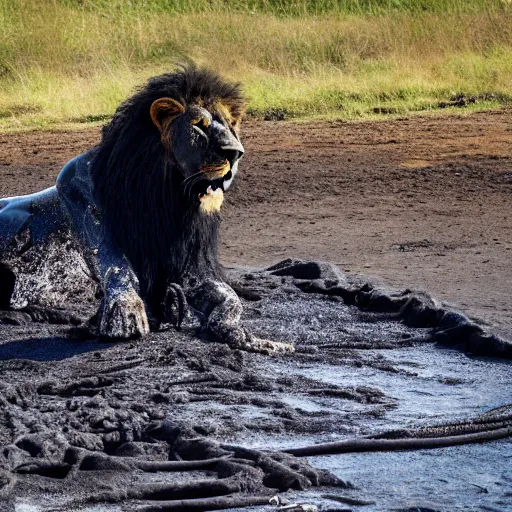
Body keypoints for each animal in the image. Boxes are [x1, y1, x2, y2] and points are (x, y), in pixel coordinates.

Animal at [0, 64, 292, 354]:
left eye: (232, 125)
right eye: (199, 126)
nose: (235, 153)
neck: (169, 197)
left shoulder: (188, 265)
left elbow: (229, 297)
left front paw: (245, 333)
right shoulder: (73, 185)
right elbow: (117, 266)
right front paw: (125, 311)